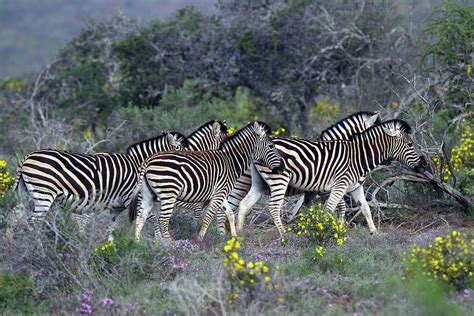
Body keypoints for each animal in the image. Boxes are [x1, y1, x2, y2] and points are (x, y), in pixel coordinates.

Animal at [130, 121, 284, 242]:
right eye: (271, 146)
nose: (281, 168)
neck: (231, 161)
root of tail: (147, 161)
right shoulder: (219, 193)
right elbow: (209, 216)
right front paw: (199, 239)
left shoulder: (221, 193)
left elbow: (229, 213)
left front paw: (234, 238)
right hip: (168, 194)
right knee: (161, 220)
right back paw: (171, 244)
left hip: (148, 195)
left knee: (141, 217)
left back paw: (138, 243)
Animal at [233, 119, 426, 237]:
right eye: (410, 144)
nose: (424, 163)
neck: (359, 156)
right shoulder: (339, 185)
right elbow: (330, 209)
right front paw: (325, 232)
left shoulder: (355, 187)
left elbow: (365, 209)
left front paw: (374, 233)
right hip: (278, 180)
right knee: (272, 207)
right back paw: (284, 235)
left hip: (259, 183)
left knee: (244, 204)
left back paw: (240, 235)